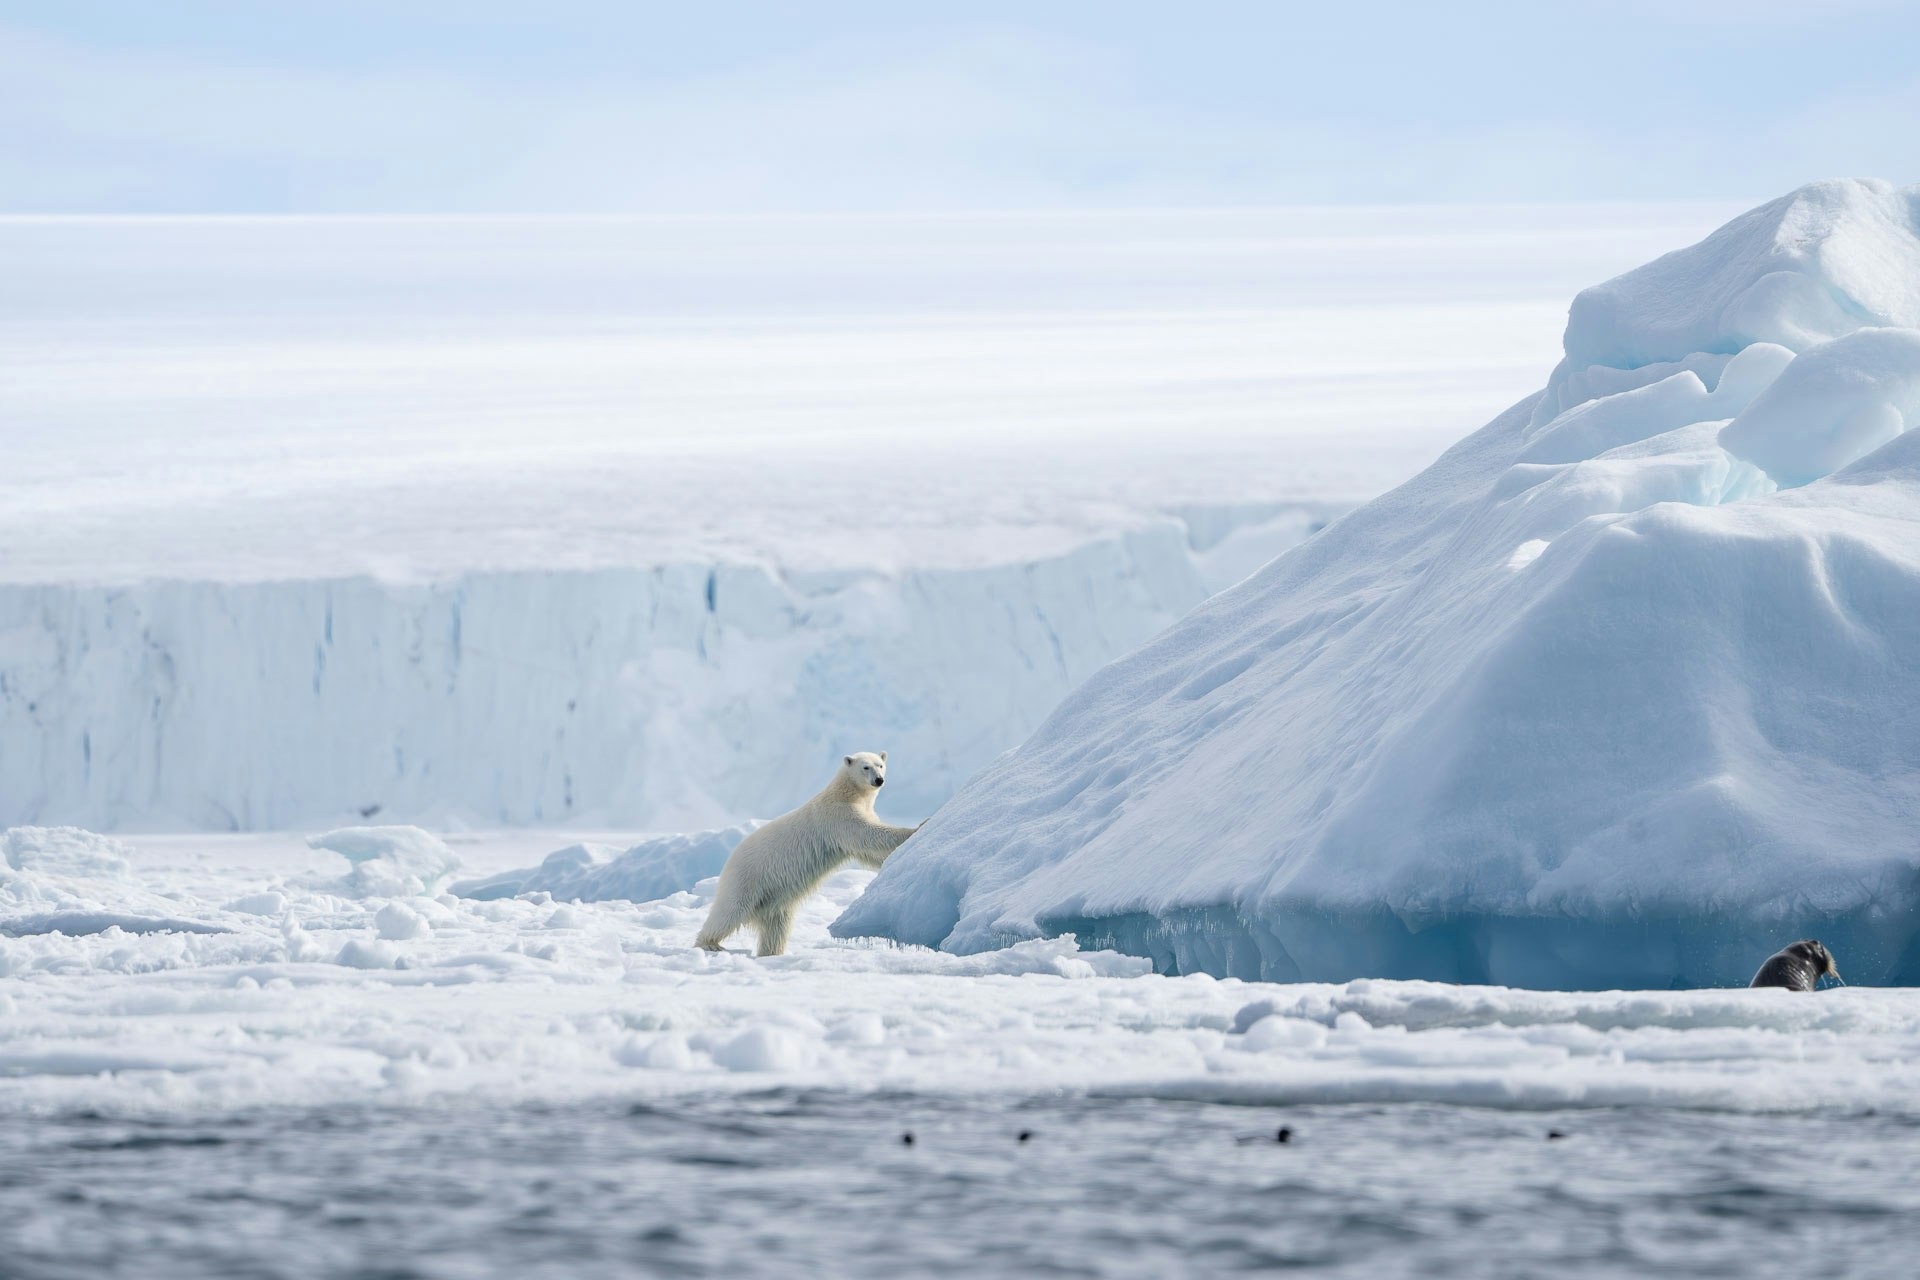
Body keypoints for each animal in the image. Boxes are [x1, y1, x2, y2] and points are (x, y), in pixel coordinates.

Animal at [695, 752, 918, 957]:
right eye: (866, 767)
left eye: (880, 765)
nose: (879, 780)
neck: (844, 793)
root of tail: (729, 860)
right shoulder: (839, 816)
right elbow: (867, 834)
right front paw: (916, 828)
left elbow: (868, 851)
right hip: (747, 878)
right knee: (730, 911)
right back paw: (709, 944)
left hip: (773, 898)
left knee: (776, 926)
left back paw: (771, 953)